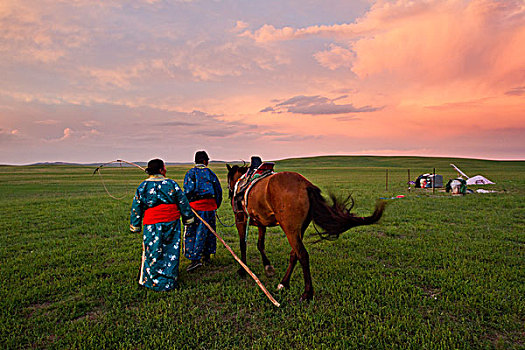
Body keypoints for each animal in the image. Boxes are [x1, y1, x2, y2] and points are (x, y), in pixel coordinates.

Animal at [225, 165, 384, 300]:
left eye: (228, 179)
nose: (230, 193)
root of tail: (306, 185)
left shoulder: (240, 220)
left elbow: (243, 244)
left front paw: (243, 269)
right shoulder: (261, 223)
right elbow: (260, 245)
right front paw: (268, 267)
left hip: (290, 229)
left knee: (302, 254)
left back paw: (307, 293)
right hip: (299, 229)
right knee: (294, 254)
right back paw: (284, 283)